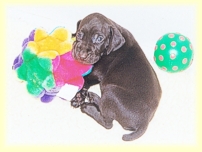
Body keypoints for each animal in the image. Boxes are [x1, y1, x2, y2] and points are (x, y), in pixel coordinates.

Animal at [70, 13, 162, 141]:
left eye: (99, 38)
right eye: (79, 34)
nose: (81, 55)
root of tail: (144, 123)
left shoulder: (97, 72)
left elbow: (85, 80)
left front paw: (77, 97)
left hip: (110, 91)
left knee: (108, 123)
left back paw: (88, 108)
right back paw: (94, 97)